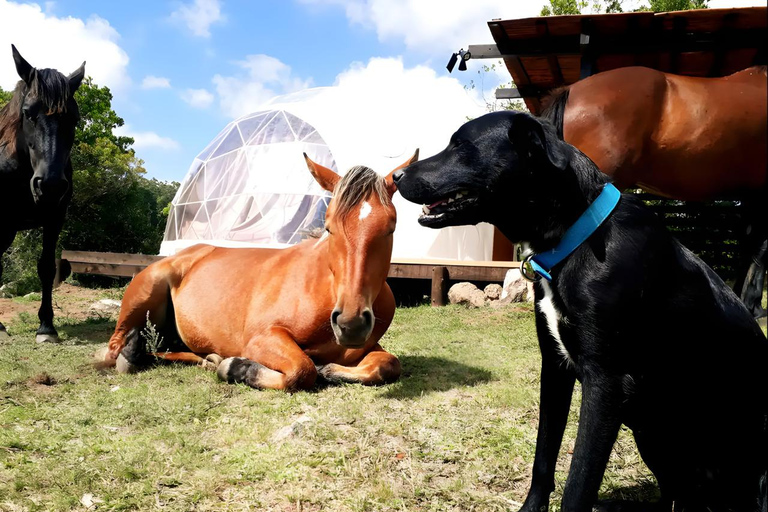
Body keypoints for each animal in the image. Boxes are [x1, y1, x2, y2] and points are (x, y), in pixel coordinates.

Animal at [0, 44, 85, 340]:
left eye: (73, 118)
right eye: (28, 112)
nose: (50, 184)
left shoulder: (54, 217)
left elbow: (47, 267)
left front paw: (46, 325)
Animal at [103, 152, 420, 392]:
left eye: (390, 227)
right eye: (329, 227)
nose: (350, 323)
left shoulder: (366, 347)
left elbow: (388, 364)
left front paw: (329, 369)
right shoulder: (262, 338)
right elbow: (302, 370)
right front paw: (238, 367)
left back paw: (207, 359)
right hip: (146, 292)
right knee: (113, 348)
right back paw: (132, 355)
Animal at [392, 112, 764, 512]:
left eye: (459, 145)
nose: (396, 176)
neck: (578, 236)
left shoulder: (606, 384)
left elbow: (580, 481)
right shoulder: (554, 367)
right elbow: (544, 456)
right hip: (655, 440)